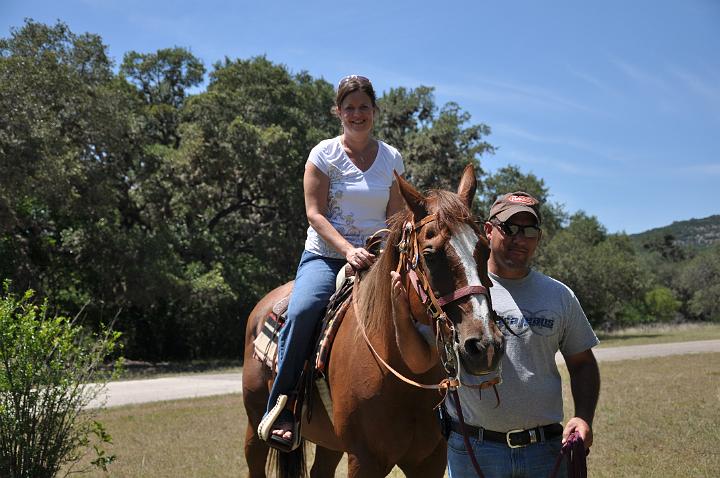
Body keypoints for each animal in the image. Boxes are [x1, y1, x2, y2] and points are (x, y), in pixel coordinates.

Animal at [245, 165, 504, 478]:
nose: (484, 346)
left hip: (329, 441)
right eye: (430, 255)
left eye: (485, 249)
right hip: (254, 423)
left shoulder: (430, 459)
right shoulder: (364, 459)